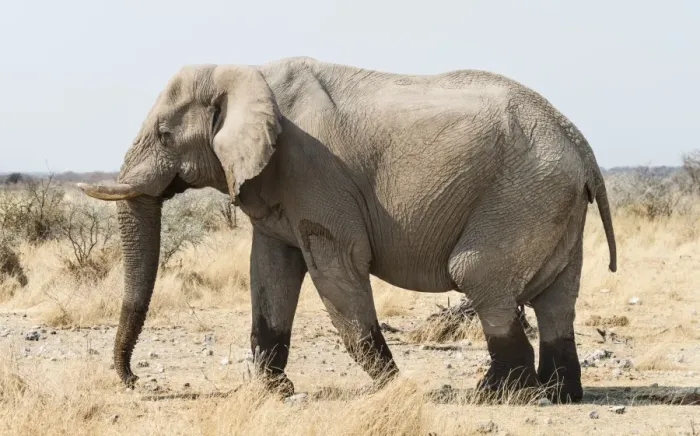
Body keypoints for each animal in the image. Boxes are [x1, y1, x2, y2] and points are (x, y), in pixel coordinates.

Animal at [78, 56, 616, 404]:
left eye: (165, 135)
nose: (135, 382)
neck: (245, 71)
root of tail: (583, 148)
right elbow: (271, 270)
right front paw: (277, 392)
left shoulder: (313, 172)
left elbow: (335, 267)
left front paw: (396, 388)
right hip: (551, 203)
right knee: (556, 299)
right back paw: (559, 394)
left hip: (523, 195)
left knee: (478, 275)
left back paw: (496, 396)